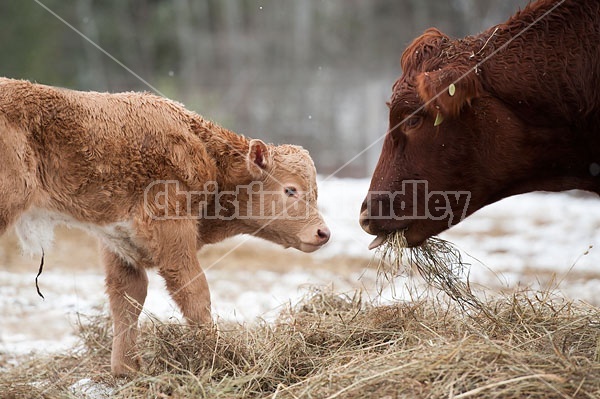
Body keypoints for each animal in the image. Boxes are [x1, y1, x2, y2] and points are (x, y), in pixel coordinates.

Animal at [0, 77, 330, 376]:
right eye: (290, 190)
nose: (323, 233)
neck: (205, 152)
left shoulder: (118, 243)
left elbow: (127, 299)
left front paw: (126, 370)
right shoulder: (171, 229)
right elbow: (194, 292)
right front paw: (218, 356)